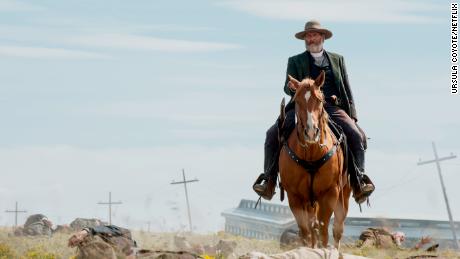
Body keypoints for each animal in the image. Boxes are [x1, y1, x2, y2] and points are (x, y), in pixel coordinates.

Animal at [278, 71, 350, 250]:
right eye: (297, 101)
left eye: (320, 100)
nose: (311, 132)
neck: (311, 153)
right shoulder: (295, 196)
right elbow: (305, 231)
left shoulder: (330, 193)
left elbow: (324, 229)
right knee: (312, 228)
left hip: (344, 193)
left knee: (337, 227)